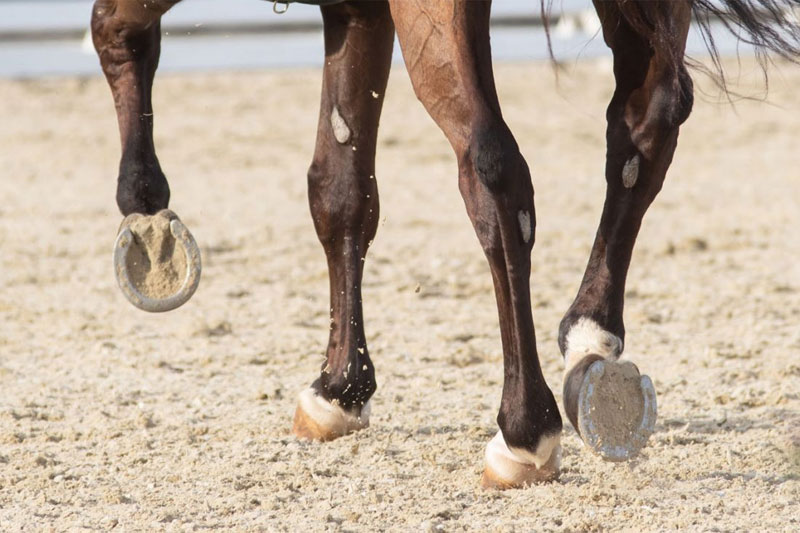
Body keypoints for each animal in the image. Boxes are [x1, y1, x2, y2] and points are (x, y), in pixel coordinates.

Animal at [89, 0, 800, 488]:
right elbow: (341, 192)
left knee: (495, 170)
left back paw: (524, 429)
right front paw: (342, 387)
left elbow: (113, 27)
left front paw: (146, 212)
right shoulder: (355, 10)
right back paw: (591, 343)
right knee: (646, 125)